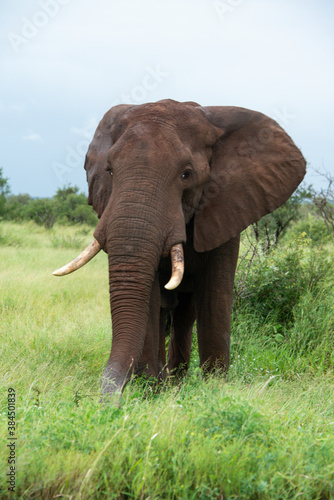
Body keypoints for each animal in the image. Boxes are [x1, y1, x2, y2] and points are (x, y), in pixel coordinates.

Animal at [53, 99, 306, 396]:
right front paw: (149, 390)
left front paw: (214, 390)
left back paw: (177, 381)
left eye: (187, 174)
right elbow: (150, 297)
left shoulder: (228, 206)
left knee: (185, 314)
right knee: (167, 310)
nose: (109, 397)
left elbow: (215, 294)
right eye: (110, 171)